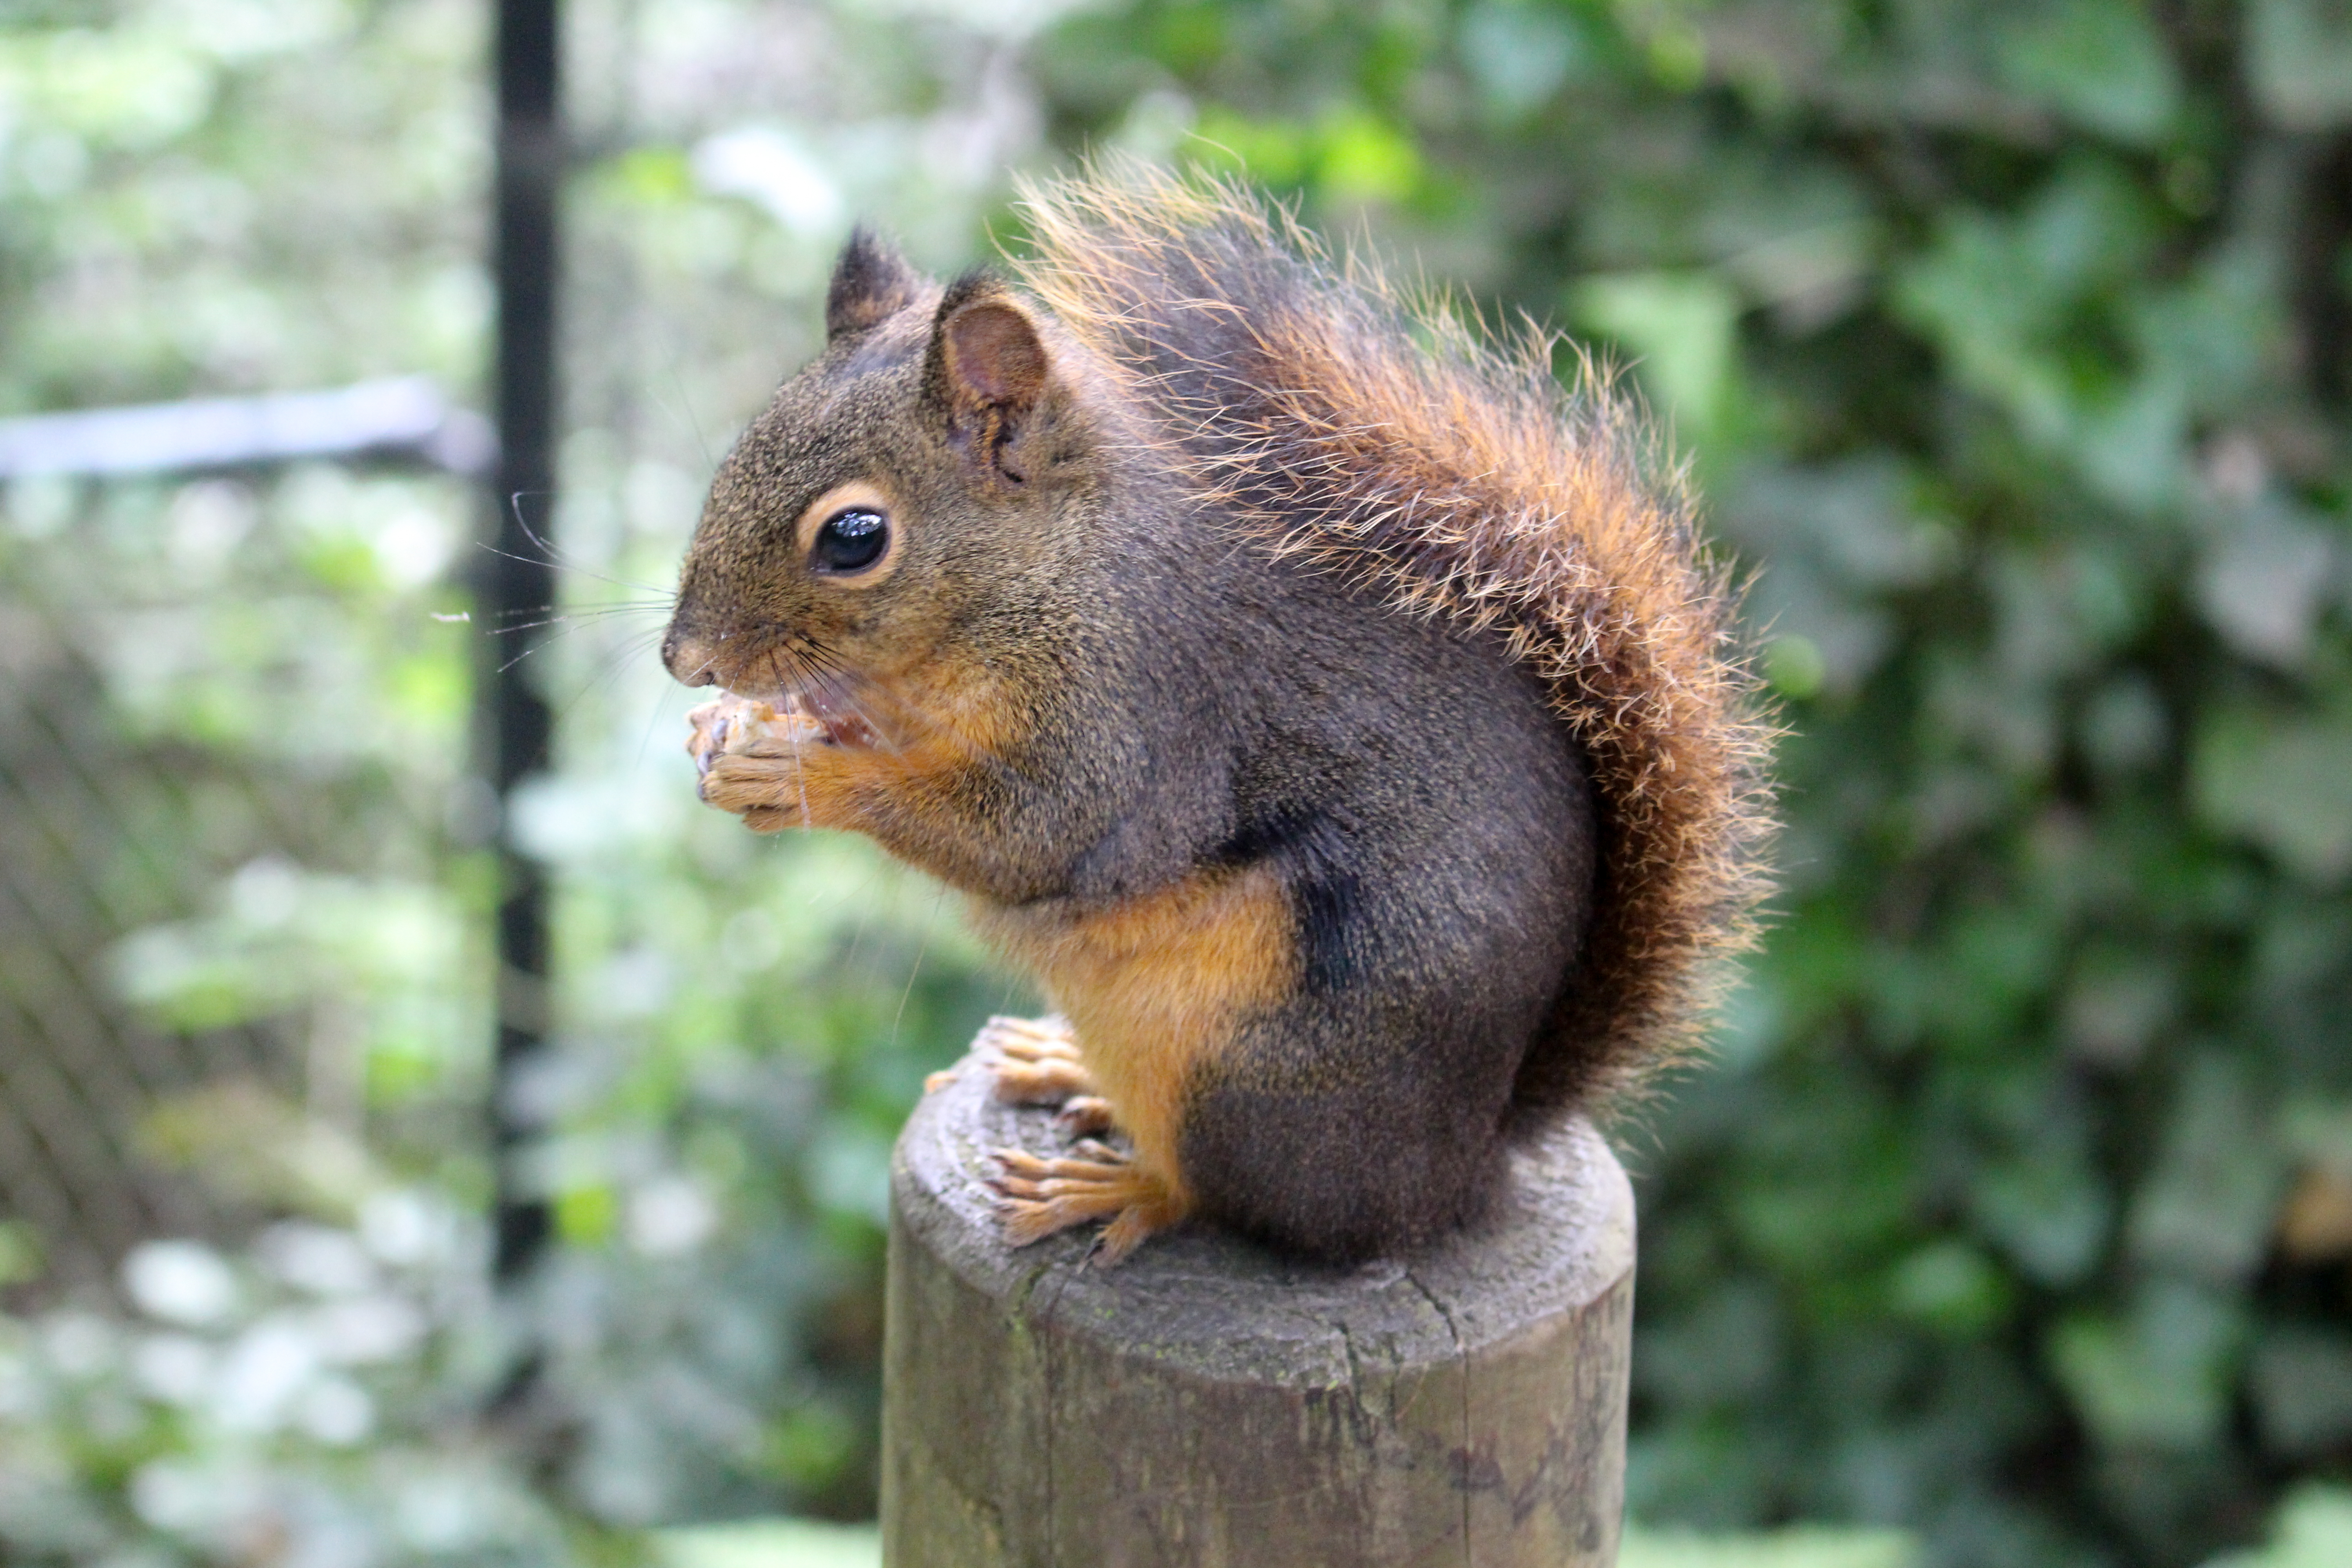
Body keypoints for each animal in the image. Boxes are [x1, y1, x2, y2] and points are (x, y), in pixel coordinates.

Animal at [658, 166, 1769, 1260]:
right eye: (734, 461)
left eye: (854, 537)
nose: (684, 661)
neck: (1048, 568)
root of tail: (1464, 1166)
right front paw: (731, 732)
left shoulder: (1135, 715)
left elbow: (1027, 833)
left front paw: (806, 773)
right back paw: (1060, 1065)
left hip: (1239, 1069)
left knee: (1234, 1200)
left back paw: (1115, 1186)